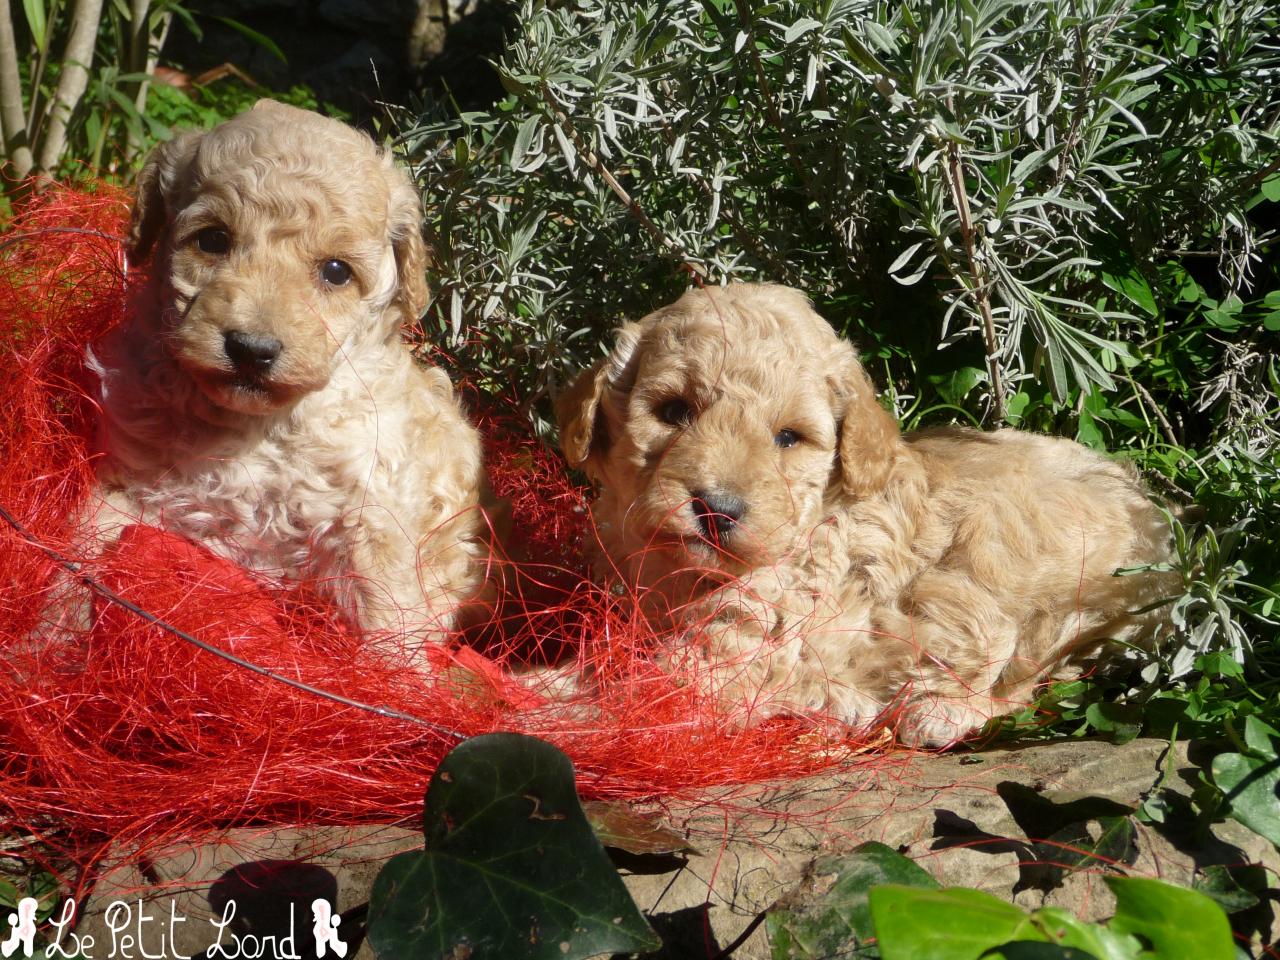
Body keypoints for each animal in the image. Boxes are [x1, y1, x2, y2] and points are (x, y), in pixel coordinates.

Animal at [87, 99, 496, 655]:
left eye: (337, 272)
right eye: (213, 240)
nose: (251, 350)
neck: (258, 429)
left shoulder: (373, 523)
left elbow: (388, 623)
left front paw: (390, 678)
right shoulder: (131, 482)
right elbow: (79, 556)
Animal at [558, 281, 1172, 747]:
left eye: (789, 438)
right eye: (673, 411)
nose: (717, 509)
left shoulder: (732, 653)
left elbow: (609, 692)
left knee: (1019, 667)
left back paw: (932, 713)